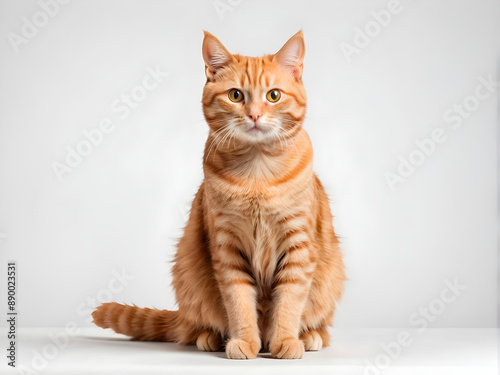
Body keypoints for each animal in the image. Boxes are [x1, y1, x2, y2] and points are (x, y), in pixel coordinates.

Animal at [92, 31, 346, 362]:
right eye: (235, 95)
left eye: (273, 96)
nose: (254, 115)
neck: (257, 171)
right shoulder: (227, 246)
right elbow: (239, 301)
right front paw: (245, 341)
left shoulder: (298, 245)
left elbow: (290, 300)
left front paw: (286, 341)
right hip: (188, 274)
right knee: (193, 326)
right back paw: (211, 337)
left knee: (320, 324)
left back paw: (308, 336)